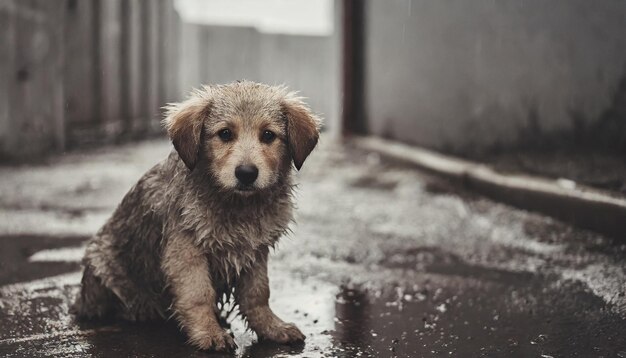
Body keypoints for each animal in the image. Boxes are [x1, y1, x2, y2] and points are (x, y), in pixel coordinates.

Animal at [71, 80, 320, 350]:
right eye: (225, 134)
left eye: (268, 135)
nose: (246, 173)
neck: (235, 205)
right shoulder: (185, 251)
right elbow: (198, 294)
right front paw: (208, 332)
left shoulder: (254, 251)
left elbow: (257, 294)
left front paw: (272, 327)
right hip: (101, 267)